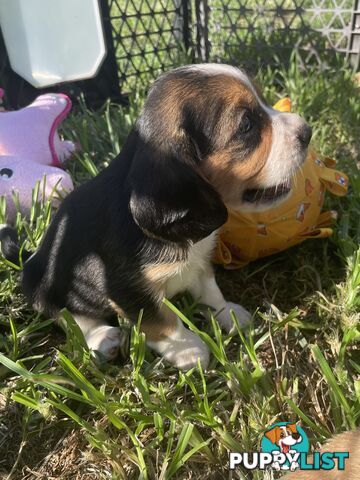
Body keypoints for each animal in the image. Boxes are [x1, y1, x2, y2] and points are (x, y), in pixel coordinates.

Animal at [0, 63, 310, 370]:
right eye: (246, 125)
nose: (307, 131)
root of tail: (29, 256)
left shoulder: (200, 263)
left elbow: (210, 291)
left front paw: (228, 314)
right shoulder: (124, 287)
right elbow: (160, 321)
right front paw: (189, 350)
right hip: (43, 285)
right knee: (69, 316)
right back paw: (103, 337)